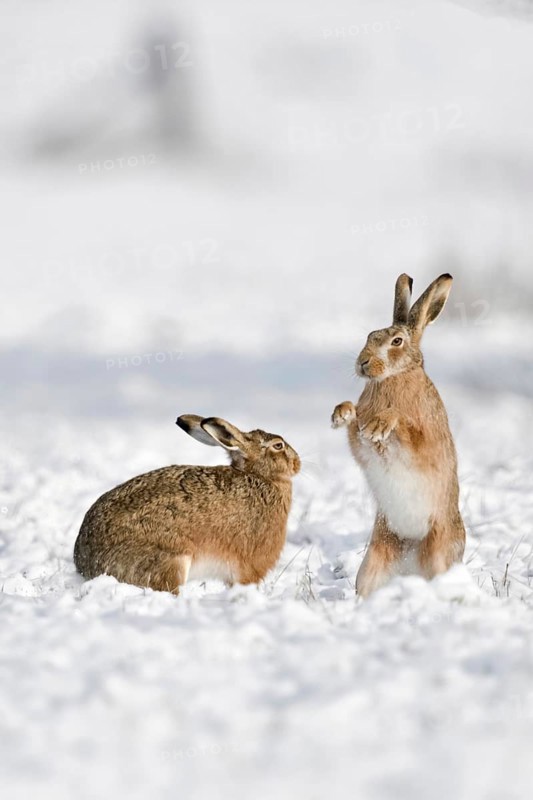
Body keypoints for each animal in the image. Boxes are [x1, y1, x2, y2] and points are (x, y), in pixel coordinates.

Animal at [74, 415, 301, 593]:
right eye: (278, 445)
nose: (297, 463)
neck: (260, 477)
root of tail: (85, 563)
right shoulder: (250, 564)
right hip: (172, 562)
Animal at [331, 273, 465, 597]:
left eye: (396, 342)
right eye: (370, 336)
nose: (363, 363)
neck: (393, 376)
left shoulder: (425, 444)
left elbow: (404, 426)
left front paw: (381, 424)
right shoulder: (362, 447)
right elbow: (356, 429)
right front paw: (342, 412)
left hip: (438, 550)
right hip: (376, 555)